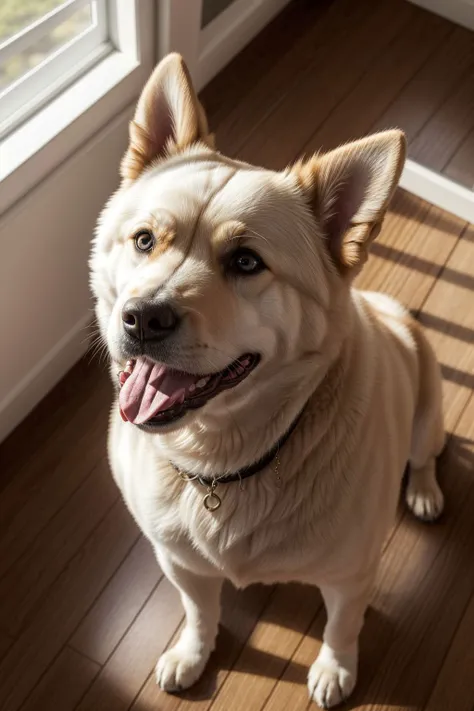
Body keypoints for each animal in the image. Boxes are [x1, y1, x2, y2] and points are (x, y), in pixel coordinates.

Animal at [89, 52, 444, 708]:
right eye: (145, 239)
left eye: (246, 262)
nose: (142, 317)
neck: (221, 460)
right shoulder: (177, 561)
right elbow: (200, 611)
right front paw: (193, 653)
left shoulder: (351, 574)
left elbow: (342, 626)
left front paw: (336, 669)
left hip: (428, 413)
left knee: (426, 455)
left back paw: (427, 492)